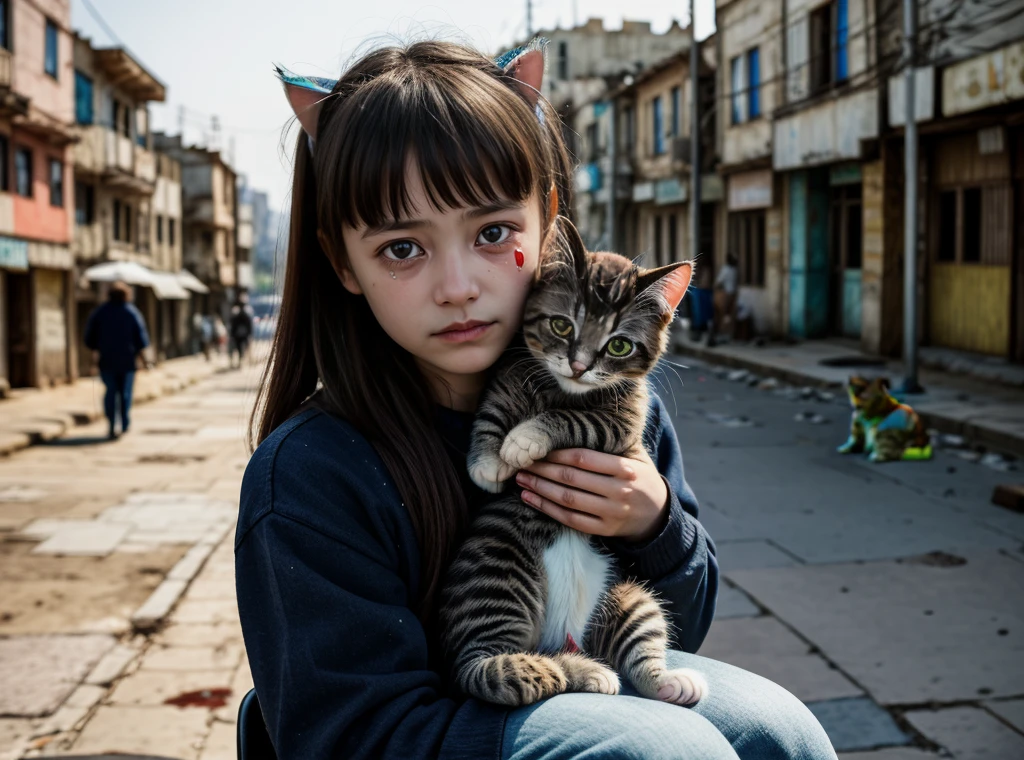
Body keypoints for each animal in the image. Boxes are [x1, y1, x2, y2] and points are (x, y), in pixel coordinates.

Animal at [436, 223, 708, 712]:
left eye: (619, 345)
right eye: (562, 325)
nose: (580, 366)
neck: (563, 390)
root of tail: (566, 635)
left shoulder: (622, 423)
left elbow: (572, 420)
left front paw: (524, 439)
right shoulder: (508, 375)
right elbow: (492, 410)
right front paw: (487, 460)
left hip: (627, 596)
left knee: (637, 644)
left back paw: (664, 681)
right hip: (496, 567)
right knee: (488, 665)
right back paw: (582, 670)